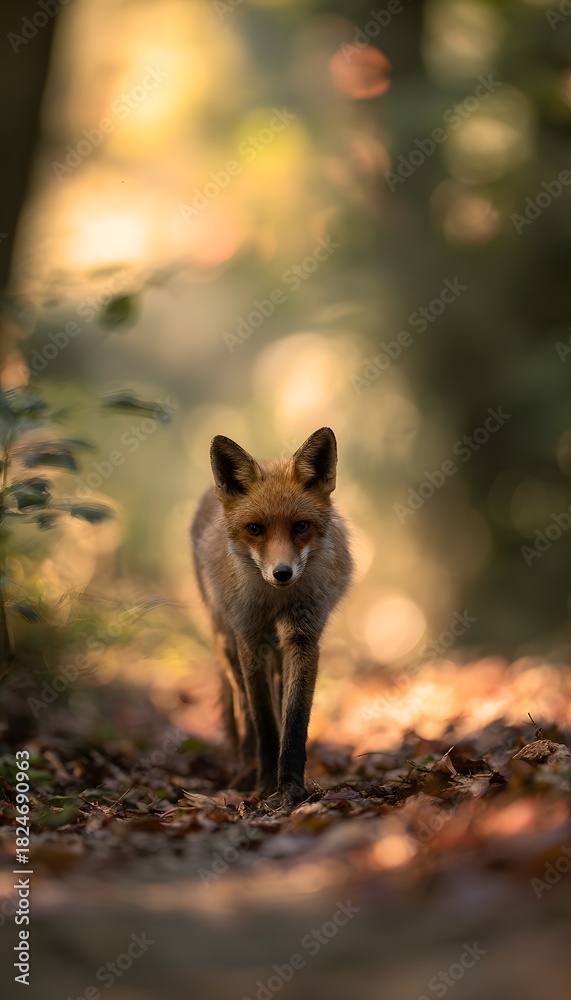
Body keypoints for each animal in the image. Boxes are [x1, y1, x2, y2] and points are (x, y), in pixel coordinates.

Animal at [191, 427, 353, 809]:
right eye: (255, 529)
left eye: (301, 526)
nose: (282, 573)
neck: (276, 600)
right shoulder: (249, 639)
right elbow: (263, 722)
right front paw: (264, 785)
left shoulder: (302, 636)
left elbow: (293, 720)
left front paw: (290, 786)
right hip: (229, 646)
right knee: (243, 711)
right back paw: (248, 768)